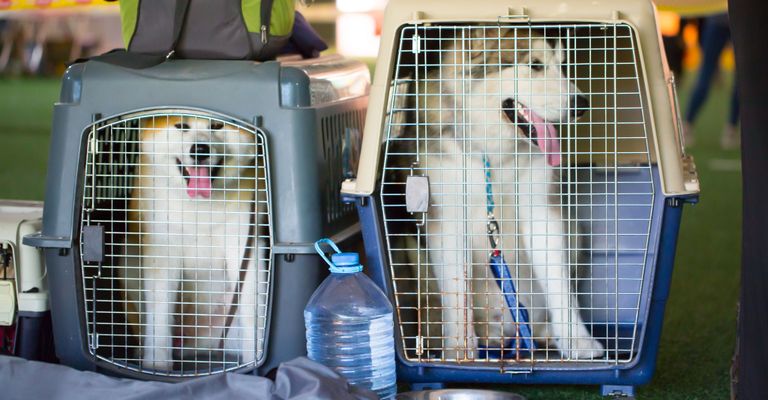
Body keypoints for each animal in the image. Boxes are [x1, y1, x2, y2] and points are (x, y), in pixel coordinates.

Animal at [118, 115, 266, 372]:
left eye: (216, 126)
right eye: (181, 126)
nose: (200, 149)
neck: (199, 207)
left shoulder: (244, 244)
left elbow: (252, 309)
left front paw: (255, 359)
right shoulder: (162, 248)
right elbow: (160, 313)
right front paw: (157, 366)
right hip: (127, 258)